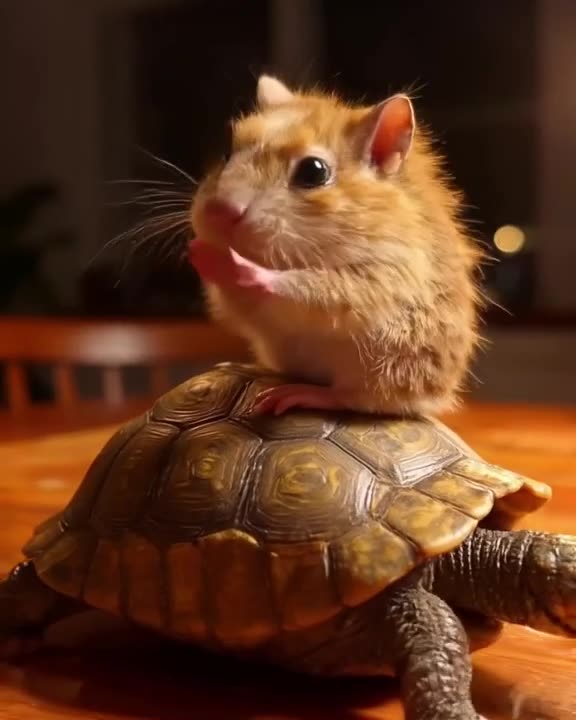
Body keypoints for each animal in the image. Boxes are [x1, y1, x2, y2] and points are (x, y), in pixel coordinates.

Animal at [188, 74, 483, 417]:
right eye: (227, 152)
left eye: (314, 171)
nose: (218, 212)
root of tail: (440, 396)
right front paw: (205, 254)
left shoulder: (385, 274)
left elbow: (313, 288)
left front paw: (241, 267)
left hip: (387, 372)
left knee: (355, 398)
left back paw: (304, 393)